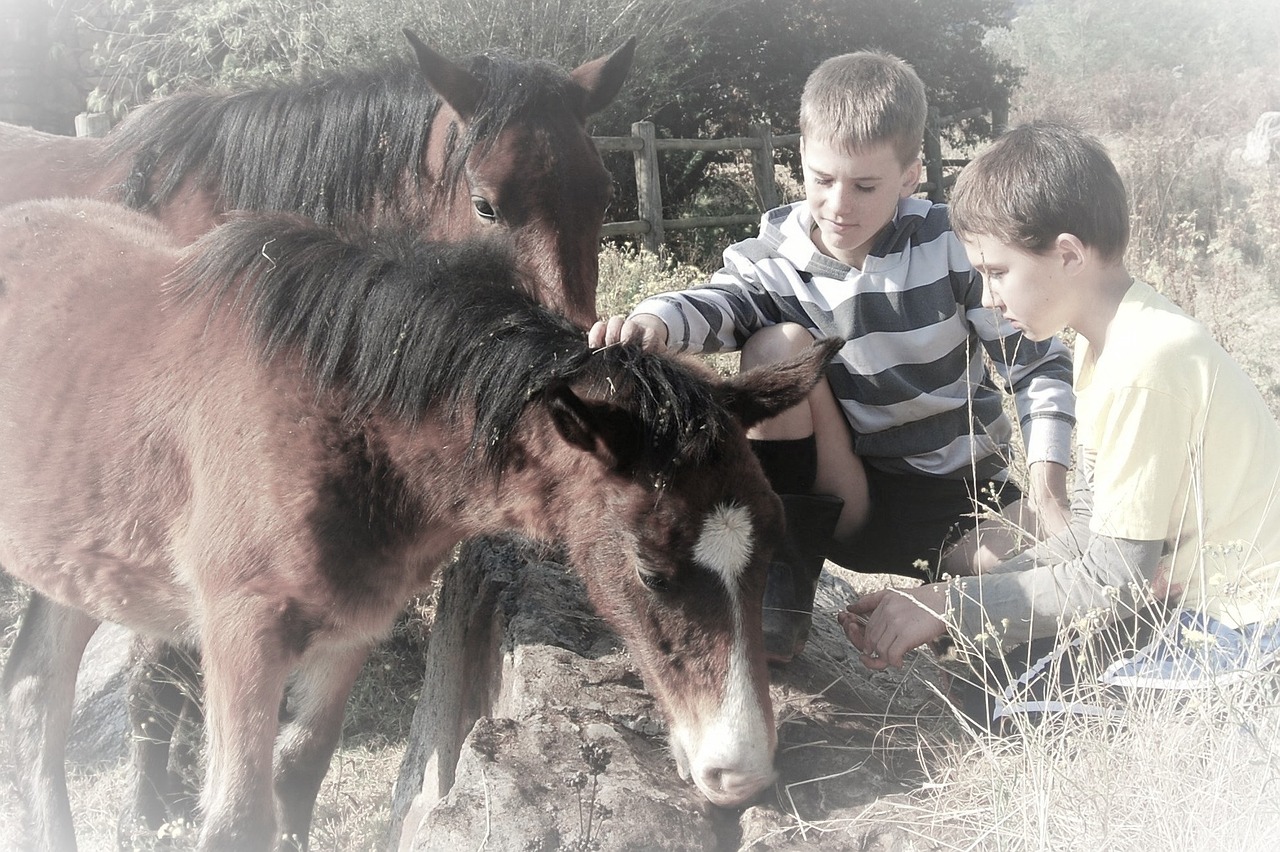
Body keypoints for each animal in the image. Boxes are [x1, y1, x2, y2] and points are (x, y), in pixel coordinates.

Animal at [0, 195, 839, 844]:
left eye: (773, 549)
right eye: (650, 570)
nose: (740, 771)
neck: (333, 423)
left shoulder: (350, 628)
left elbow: (296, 777)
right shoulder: (240, 633)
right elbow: (237, 819)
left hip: (77, 563)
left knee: (36, 696)